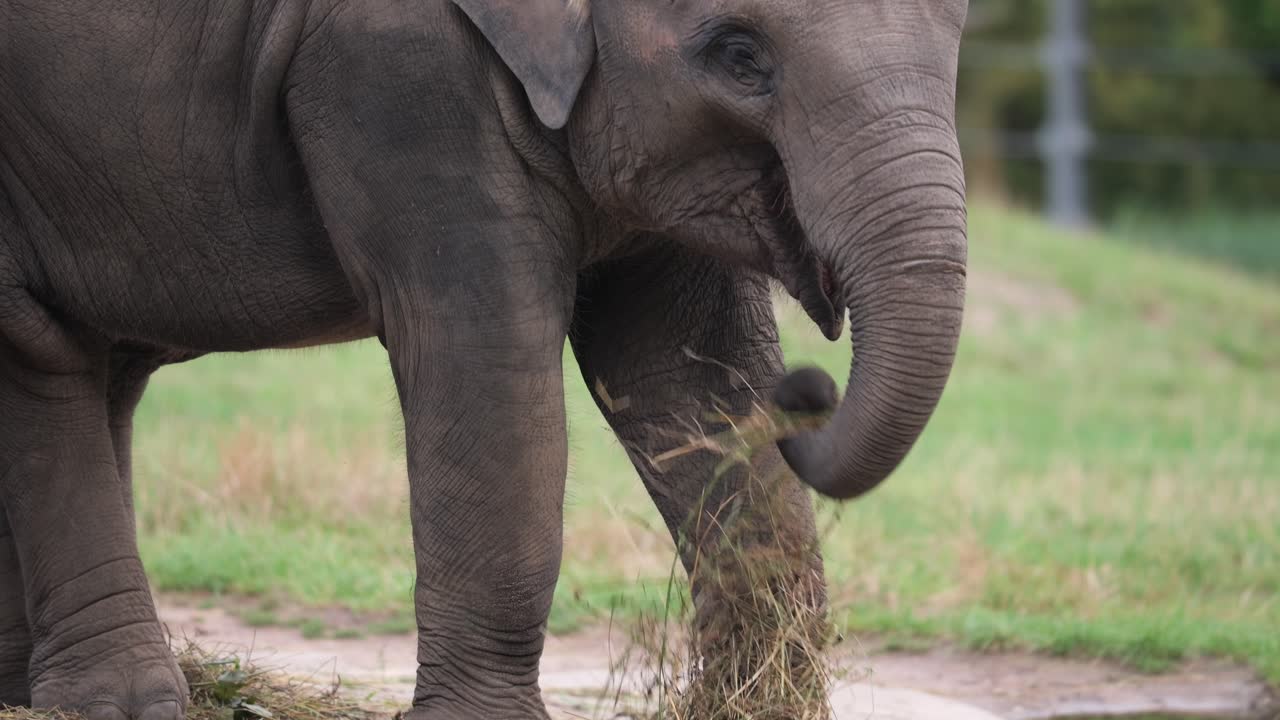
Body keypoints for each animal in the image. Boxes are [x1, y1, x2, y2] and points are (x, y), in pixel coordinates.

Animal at [0, 0, 969, 717]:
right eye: (738, 55)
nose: (807, 386)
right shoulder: (398, 77)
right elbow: (485, 353)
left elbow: (690, 374)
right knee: (39, 353)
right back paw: (123, 703)